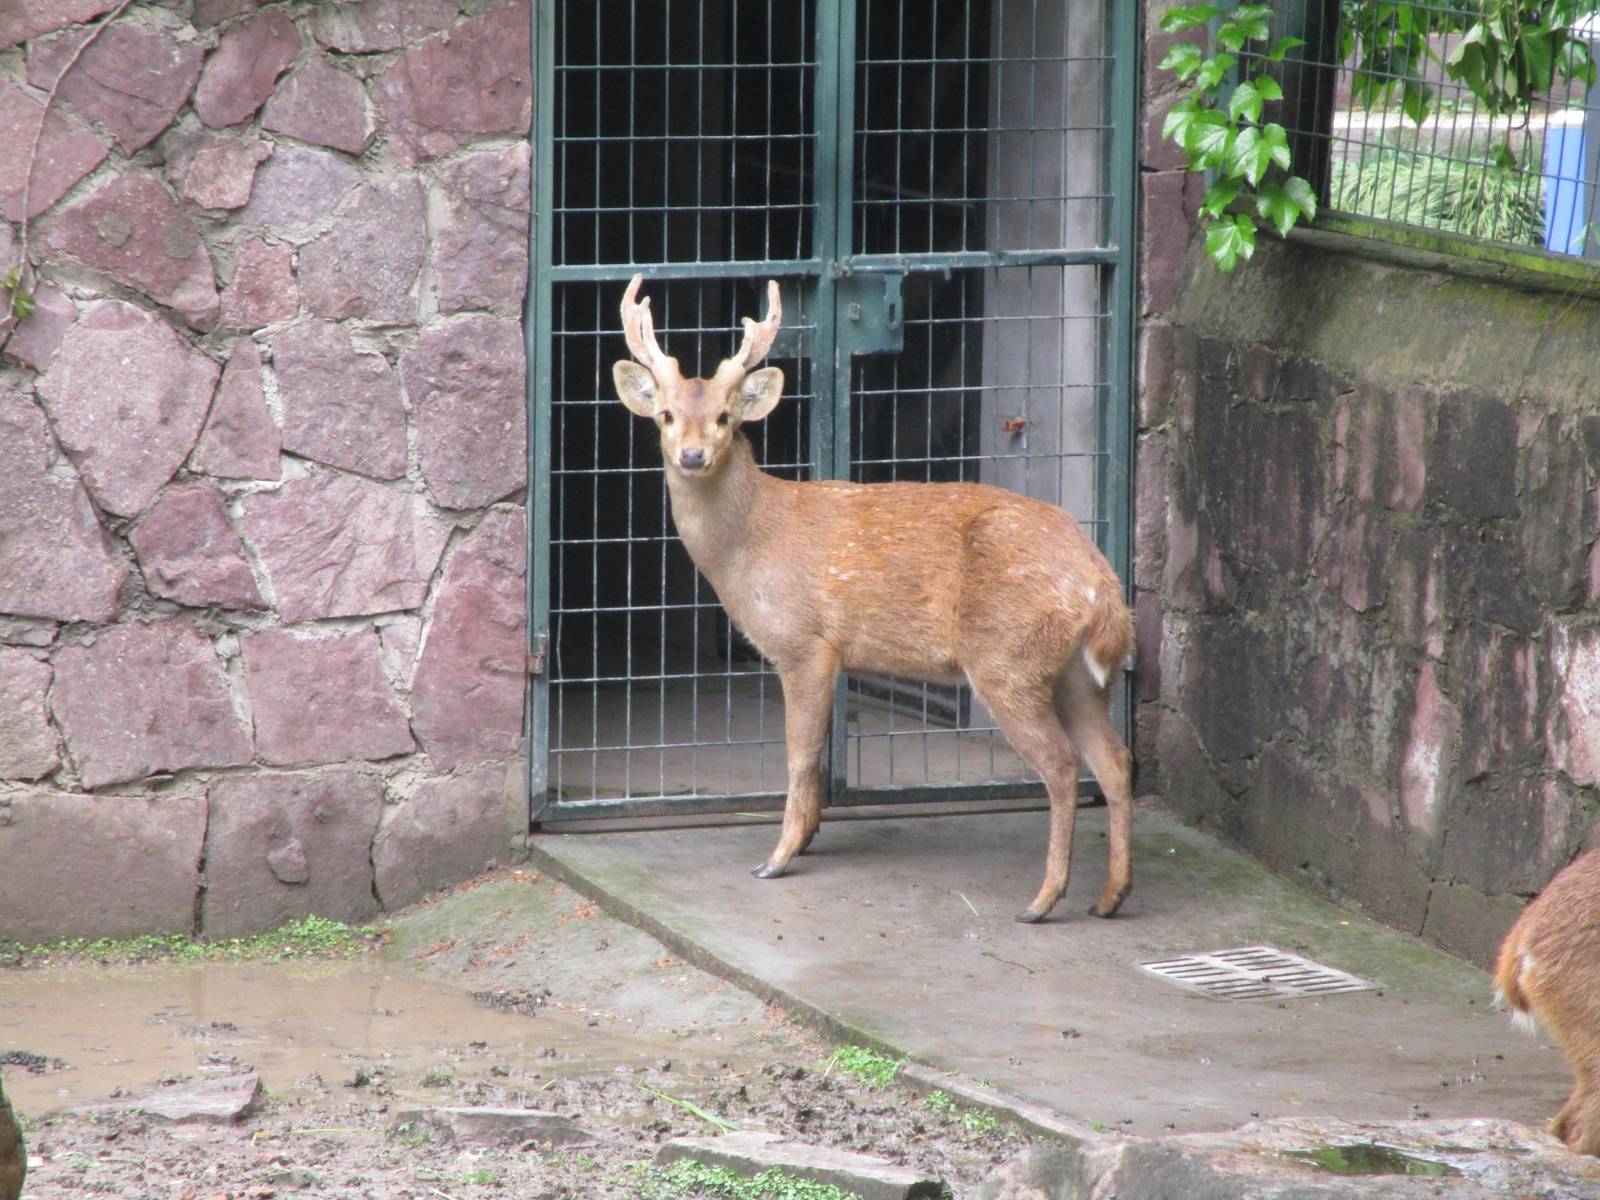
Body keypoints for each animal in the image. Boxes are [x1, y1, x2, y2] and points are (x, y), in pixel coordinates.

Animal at [611, 274, 1134, 923]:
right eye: (665, 415)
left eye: (726, 418)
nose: (691, 456)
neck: (754, 545)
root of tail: (1100, 583)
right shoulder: (829, 654)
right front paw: (807, 836)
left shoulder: (805, 642)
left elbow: (800, 754)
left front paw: (777, 856)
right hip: (1076, 674)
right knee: (1114, 760)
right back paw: (1110, 896)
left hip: (1007, 659)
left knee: (1062, 766)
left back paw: (1042, 901)